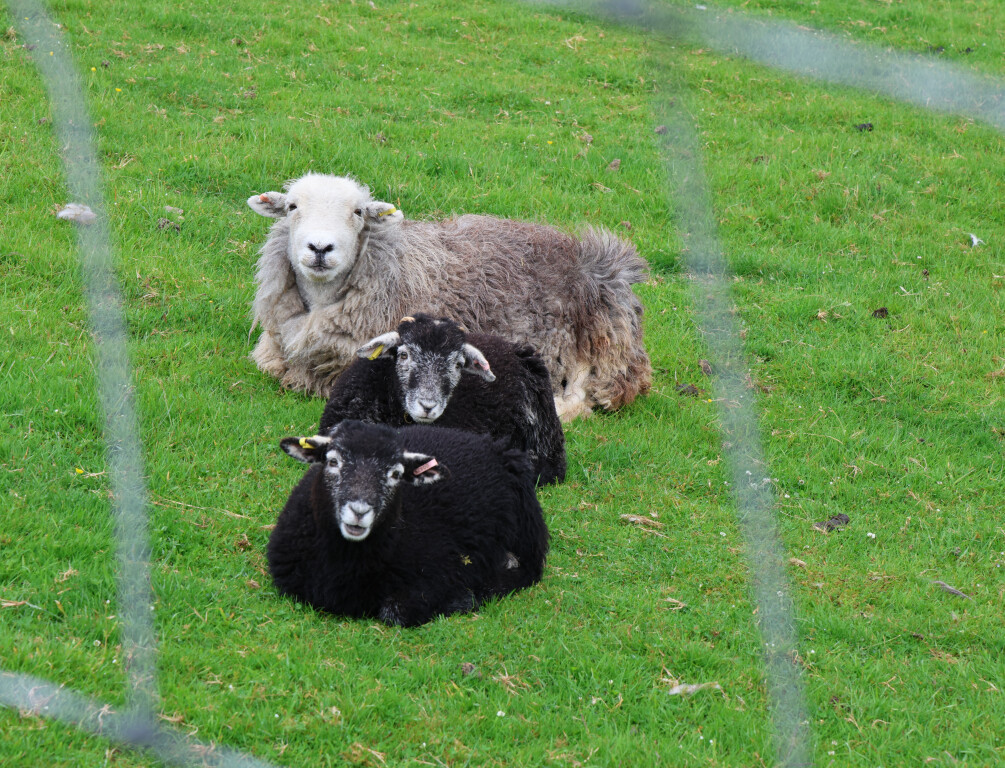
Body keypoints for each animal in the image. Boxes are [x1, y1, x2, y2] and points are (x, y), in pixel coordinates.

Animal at [267, 420, 549, 627]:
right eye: (333, 461)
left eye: (396, 474)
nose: (359, 510)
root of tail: (485, 441)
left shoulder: (440, 573)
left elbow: (395, 611)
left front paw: (463, 599)